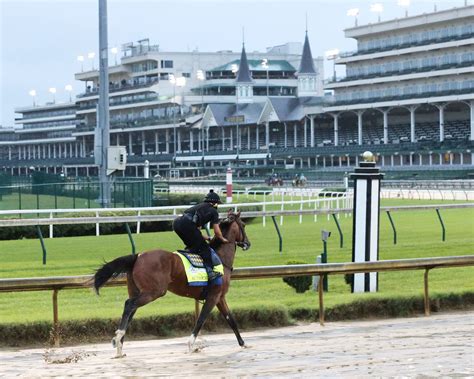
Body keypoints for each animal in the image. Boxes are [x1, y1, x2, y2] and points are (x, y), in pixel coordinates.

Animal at [90, 209, 250, 358]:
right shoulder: (213, 296)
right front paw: (191, 345)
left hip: (137, 290)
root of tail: (138, 256)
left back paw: (119, 347)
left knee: (130, 310)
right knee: (129, 305)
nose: (248, 243)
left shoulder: (220, 297)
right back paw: (118, 338)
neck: (221, 259)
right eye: (243, 225)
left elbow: (231, 319)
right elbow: (201, 320)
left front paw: (243, 343)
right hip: (154, 291)